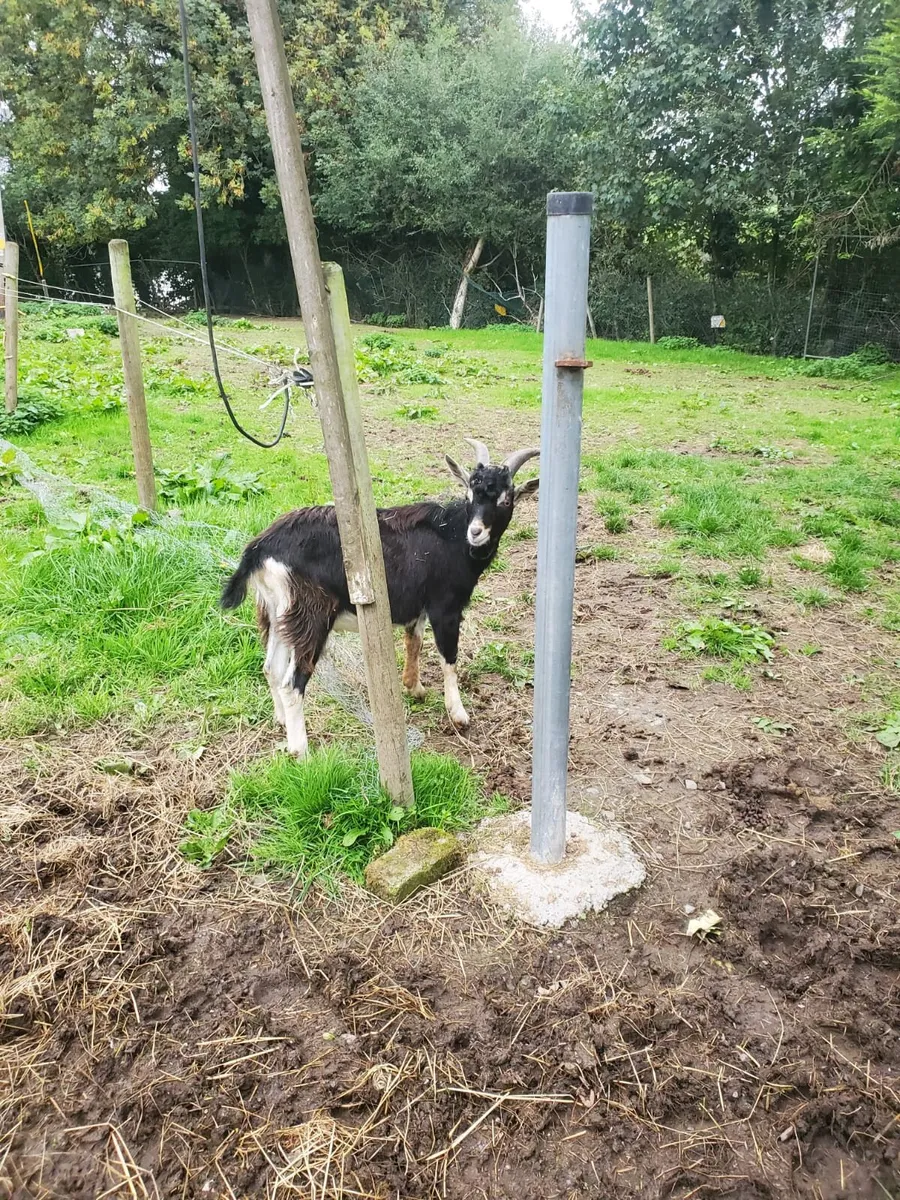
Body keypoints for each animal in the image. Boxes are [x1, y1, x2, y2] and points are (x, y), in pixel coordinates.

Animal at [221, 440, 539, 757]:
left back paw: (281, 721)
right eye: (469, 495)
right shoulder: (445, 607)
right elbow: (449, 658)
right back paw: (301, 751)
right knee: (292, 682)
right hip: (310, 613)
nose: (476, 532)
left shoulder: (417, 606)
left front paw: (414, 687)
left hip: (276, 611)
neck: (451, 535)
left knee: (271, 667)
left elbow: (414, 641)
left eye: (506, 501)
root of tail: (259, 549)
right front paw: (458, 714)